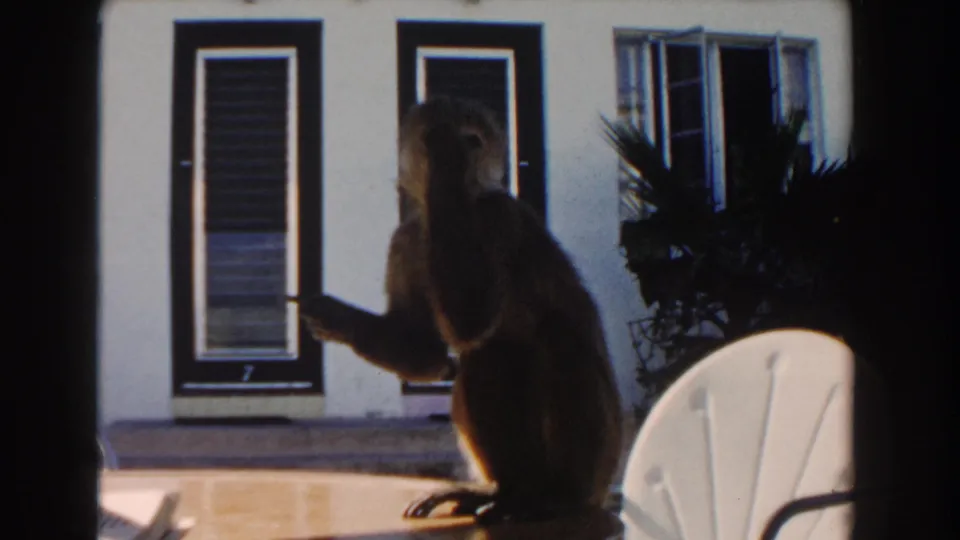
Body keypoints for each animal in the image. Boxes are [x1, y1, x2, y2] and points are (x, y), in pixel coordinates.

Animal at [291, 95, 623, 529]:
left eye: (475, 140)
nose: (464, 153)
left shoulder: (498, 215)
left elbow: (471, 320)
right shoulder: (404, 240)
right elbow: (428, 352)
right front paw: (338, 320)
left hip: (597, 460)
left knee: (528, 346)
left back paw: (551, 498)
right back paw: (502, 492)